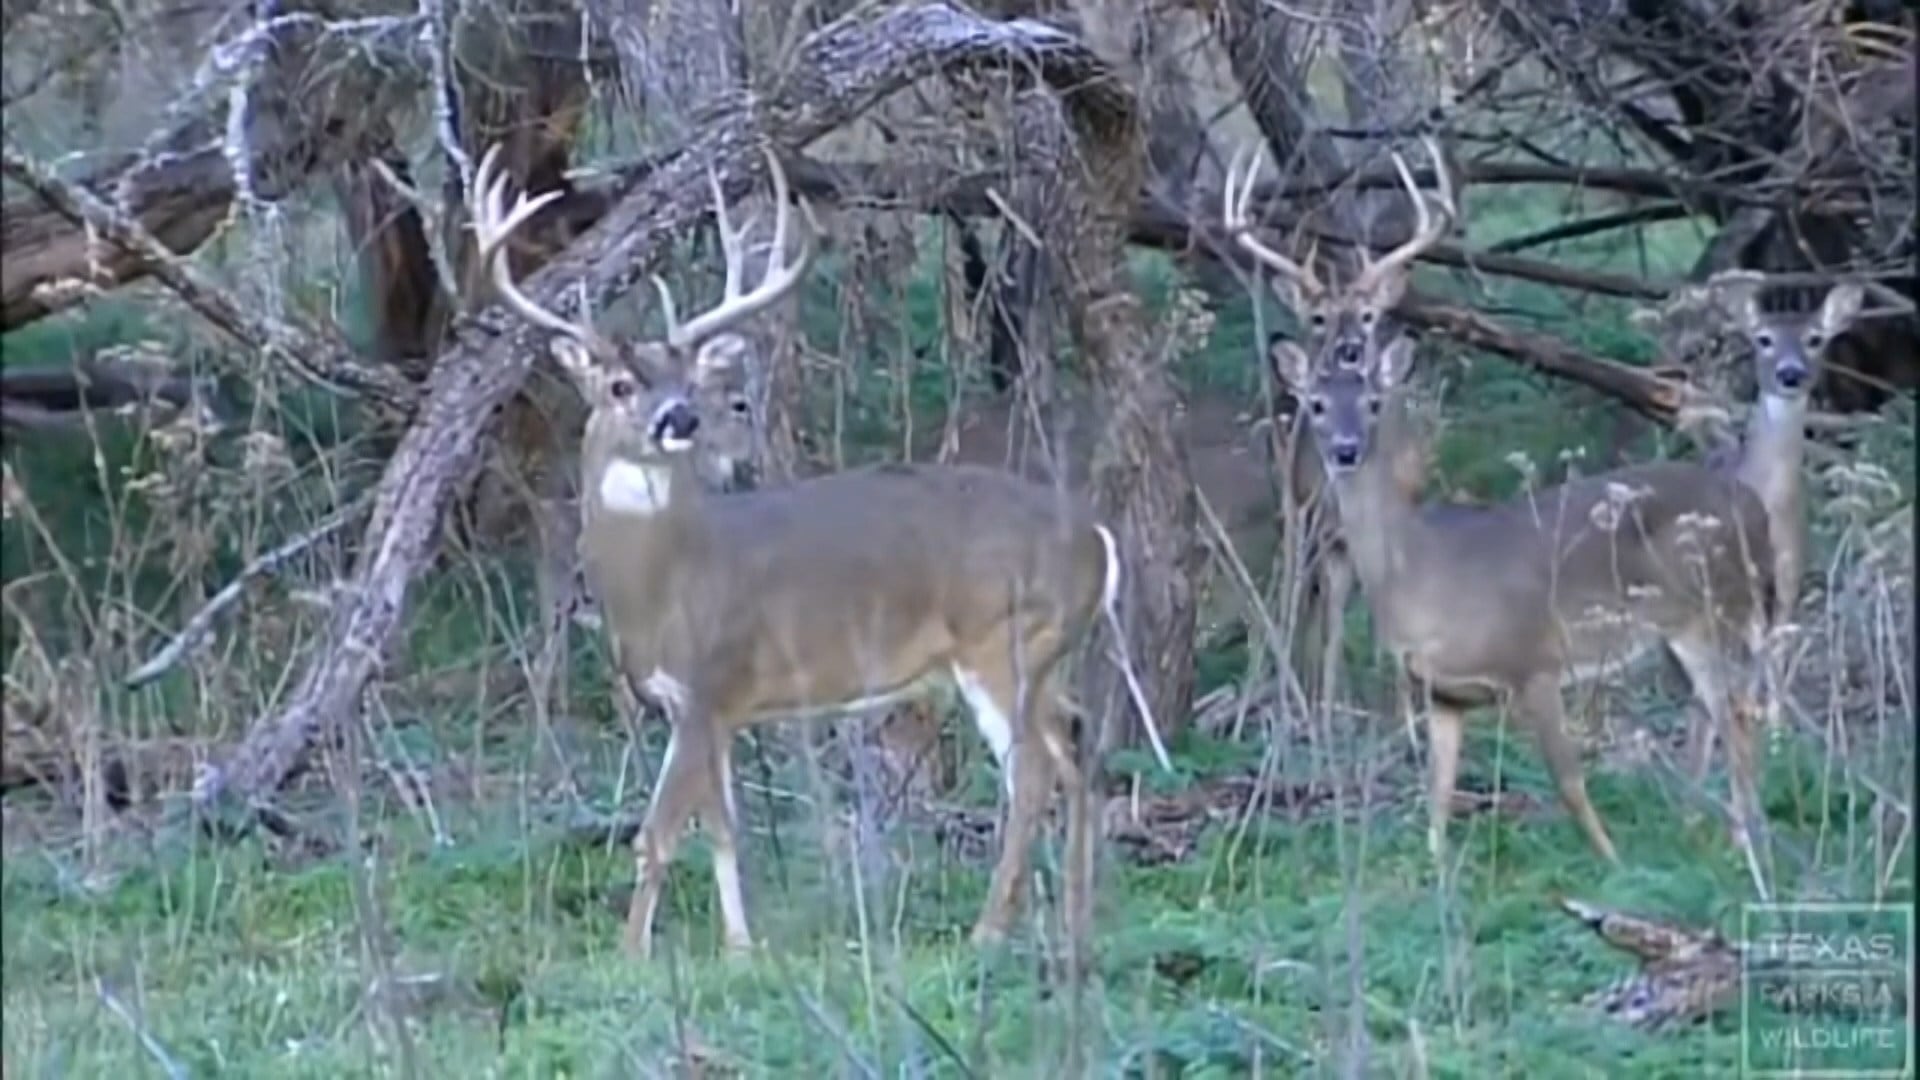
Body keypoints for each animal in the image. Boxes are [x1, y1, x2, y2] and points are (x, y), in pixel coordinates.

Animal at [467, 143, 1161, 957]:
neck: (665, 581)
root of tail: (1097, 540)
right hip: (1046, 653)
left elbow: (658, 834)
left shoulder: (713, 679)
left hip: (1005, 640)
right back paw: (1080, 920)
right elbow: (723, 829)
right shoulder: (703, 709)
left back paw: (989, 931)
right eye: (617, 386)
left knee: (1033, 773)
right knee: (1077, 746)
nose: (679, 419)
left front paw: (632, 953)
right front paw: (741, 949)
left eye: (689, 382)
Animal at [1229, 138, 1781, 882]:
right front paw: (1435, 879)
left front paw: (1616, 868)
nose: (1345, 449)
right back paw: (1707, 829)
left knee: (1739, 715)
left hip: (1713, 612)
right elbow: (1436, 799)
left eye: (1370, 401)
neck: (1421, 571)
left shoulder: (1534, 660)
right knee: (1718, 713)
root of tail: (1752, 503)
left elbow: (1570, 783)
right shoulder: (1444, 693)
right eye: (1316, 404)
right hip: (1685, 630)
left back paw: (1746, 845)